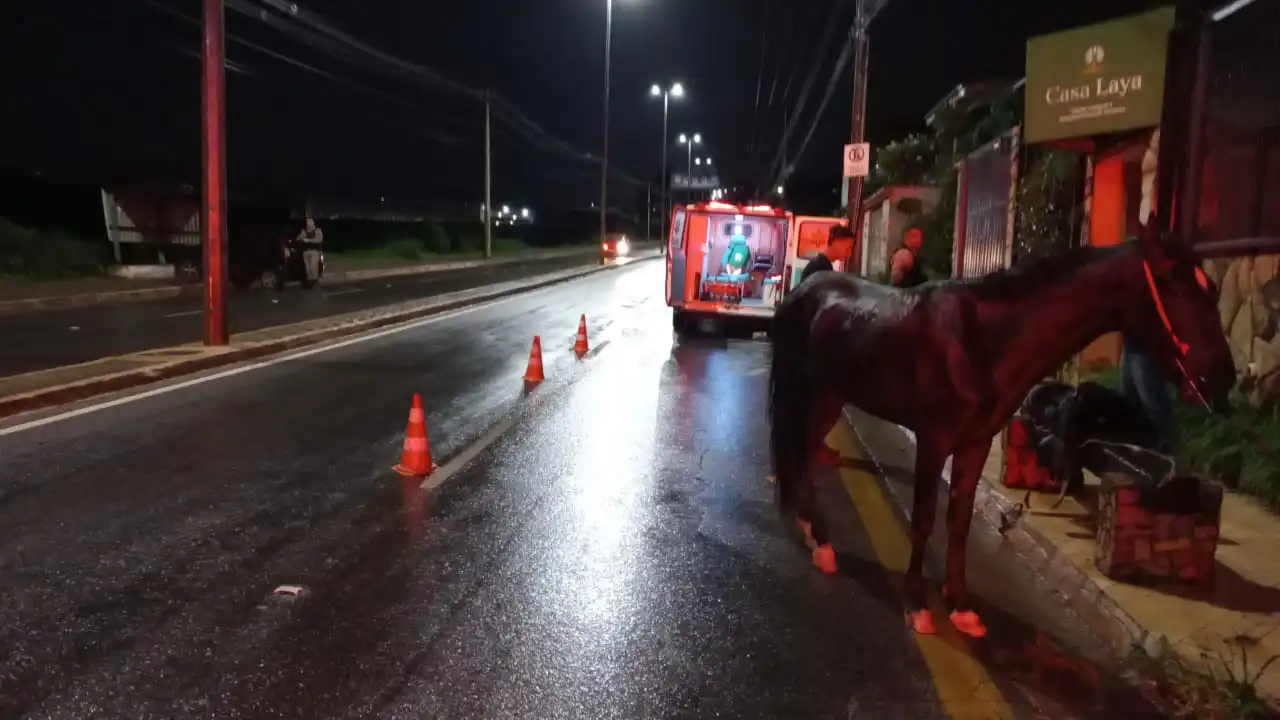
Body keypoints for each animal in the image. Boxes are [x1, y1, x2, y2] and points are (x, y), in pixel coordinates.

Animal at [762, 221, 1233, 635]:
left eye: (1211, 290)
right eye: (1174, 284)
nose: (1222, 377)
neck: (983, 342)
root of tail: (802, 291)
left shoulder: (974, 445)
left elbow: (959, 524)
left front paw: (961, 607)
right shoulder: (933, 441)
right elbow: (924, 521)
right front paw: (917, 605)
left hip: (830, 395)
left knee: (804, 450)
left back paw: (814, 531)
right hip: (807, 389)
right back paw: (822, 542)